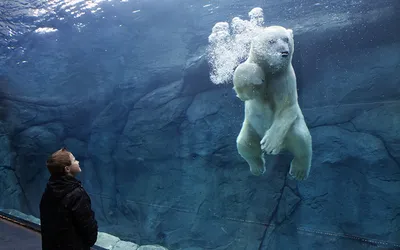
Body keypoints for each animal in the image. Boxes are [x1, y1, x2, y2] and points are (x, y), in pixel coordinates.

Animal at [233, 25, 314, 181]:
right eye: (271, 41)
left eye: (286, 39)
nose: (284, 52)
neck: (272, 71)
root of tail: (282, 148)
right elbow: (245, 91)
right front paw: (256, 76)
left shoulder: (285, 79)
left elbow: (287, 107)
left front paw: (268, 143)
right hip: (250, 128)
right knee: (244, 144)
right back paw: (257, 167)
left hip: (293, 127)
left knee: (302, 140)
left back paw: (298, 171)